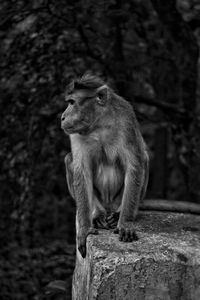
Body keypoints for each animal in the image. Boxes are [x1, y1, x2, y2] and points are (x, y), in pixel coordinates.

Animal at [61, 74, 149, 256]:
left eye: (72, 102)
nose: (62, 117)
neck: (99, 123)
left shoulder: (126, 119)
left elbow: (134, 165)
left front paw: (125, 223)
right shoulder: (76, 133)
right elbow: (81, 170)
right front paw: (84, 229)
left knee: (143, 157)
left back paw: (118, 214)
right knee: (69, 159)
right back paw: (97, 213)